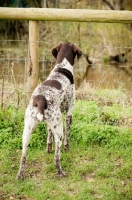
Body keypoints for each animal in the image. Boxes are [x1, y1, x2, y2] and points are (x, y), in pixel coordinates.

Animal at [16, 41, 81, 179]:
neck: (62, 67)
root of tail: (40, 99)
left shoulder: (51, 123)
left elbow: (48, 136)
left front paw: (48, 149)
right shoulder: (69, 112)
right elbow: (68, 137)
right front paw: (67, 149)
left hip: (27, 131)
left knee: (23, 157)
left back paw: (20, 175)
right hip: (59, 130)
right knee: (57, 157)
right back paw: (61, 173)